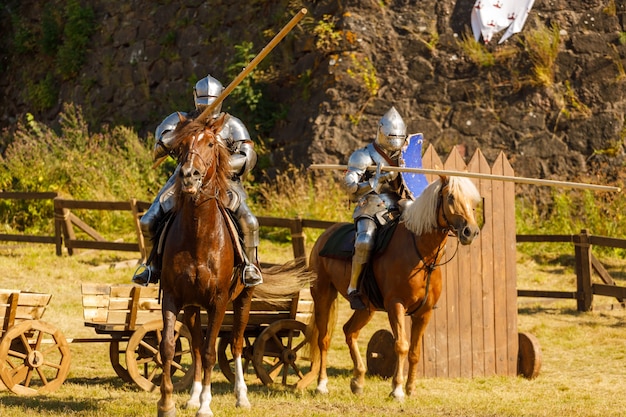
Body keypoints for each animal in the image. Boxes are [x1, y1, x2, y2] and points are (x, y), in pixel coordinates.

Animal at [157, 113, 250, 416]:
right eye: (182, 145)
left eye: (210, 143)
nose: (189, 175)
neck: (199, 235)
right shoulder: (173, 298)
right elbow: (169, 346)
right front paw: (167, 403)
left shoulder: (218, 302)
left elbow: (211, 351)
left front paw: (206, 407)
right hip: (192, 308)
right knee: (196, 346)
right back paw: (193, 396)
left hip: (243, 299)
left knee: (236, 344)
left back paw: (241, 396)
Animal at [304, 175, 480, 400]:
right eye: (450, 197)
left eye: (473, 201)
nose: (470, 232)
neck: (422, 255)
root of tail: (325, 235)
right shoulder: (396, 305)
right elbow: (401, 345)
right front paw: (397, 389)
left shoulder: (424, 312)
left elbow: (415, 352)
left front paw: (411, 389)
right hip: (323, 296)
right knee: (324, 339)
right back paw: (322, 384)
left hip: (366, 308)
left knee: (349, 331)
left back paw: (358, 380)